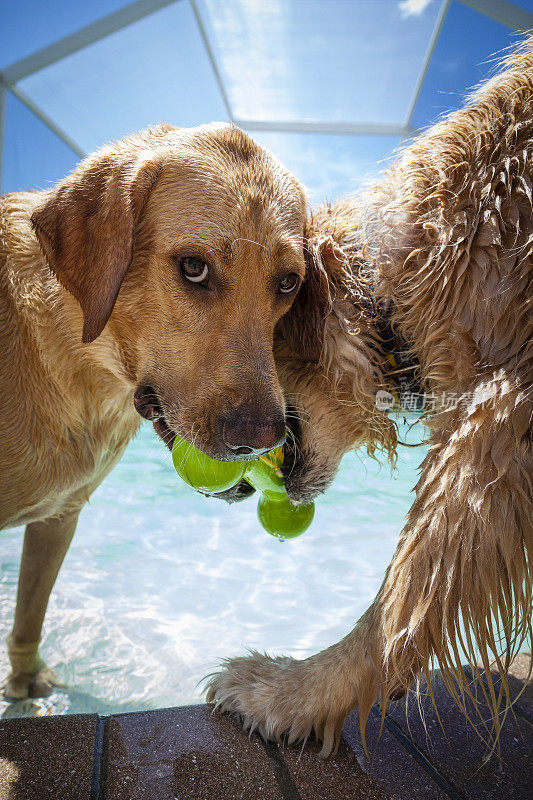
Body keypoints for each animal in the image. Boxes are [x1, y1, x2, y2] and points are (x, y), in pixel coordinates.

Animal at [1, 122, 308, 704]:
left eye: (287, 282)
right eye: (193, 267)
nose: (263, 440)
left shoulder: (59, 518)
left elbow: (31, 611)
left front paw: (26, 679)